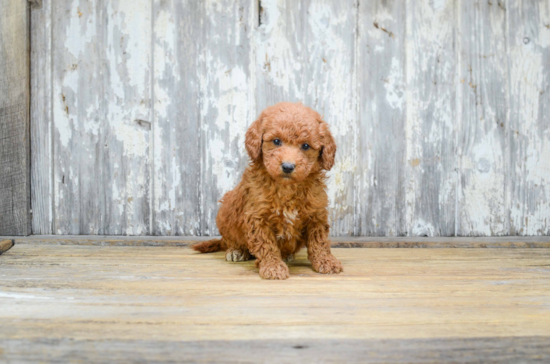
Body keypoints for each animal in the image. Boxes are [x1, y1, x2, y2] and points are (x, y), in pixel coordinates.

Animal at [192, 101, 342, 280]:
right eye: (276, 141)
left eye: (305, 146)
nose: (288, 166)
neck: (287, 187)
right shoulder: (257, 217)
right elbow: (266, 245)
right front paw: (273, 267)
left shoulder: (316, 214)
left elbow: (319, 241)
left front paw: (326, 261)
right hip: (226, 212)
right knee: (230, 239)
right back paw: (237, 250)